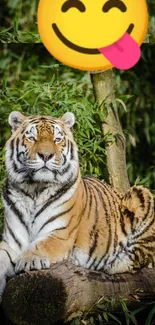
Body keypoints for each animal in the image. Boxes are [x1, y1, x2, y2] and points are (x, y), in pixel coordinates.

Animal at [0, 110, 155, 300]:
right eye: (32, 138)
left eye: (57, 139)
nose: (46, 155)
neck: (34, 189)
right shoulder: (12, 242)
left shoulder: (60, 234)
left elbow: (41, 244)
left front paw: (29, 260)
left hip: (141, 194)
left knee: (139, 258)